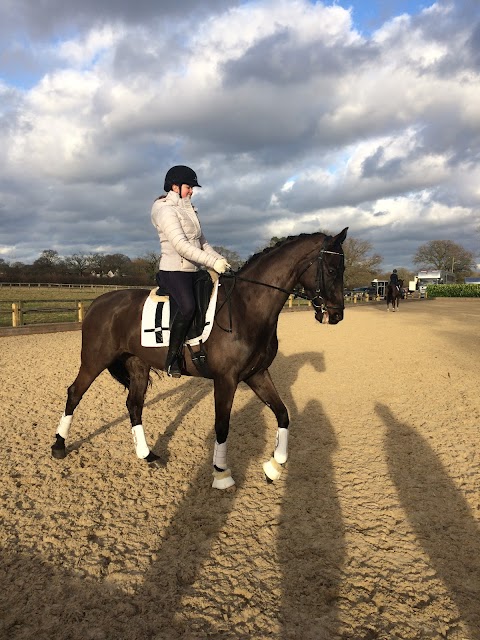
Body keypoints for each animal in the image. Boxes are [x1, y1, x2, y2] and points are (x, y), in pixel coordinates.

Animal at [51, 228, 344, 488]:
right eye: (332, 270)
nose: (336, 315)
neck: (246, 307)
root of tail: (98, 303)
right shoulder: (226, 380)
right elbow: (222, 426)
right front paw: (221, 474)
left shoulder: (257, 374)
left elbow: (283, 414)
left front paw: (274, 467)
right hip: (94, 361)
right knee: (74, 393)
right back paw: (58, 445)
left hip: (137, 365)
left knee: (133, 405)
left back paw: (147, 455)